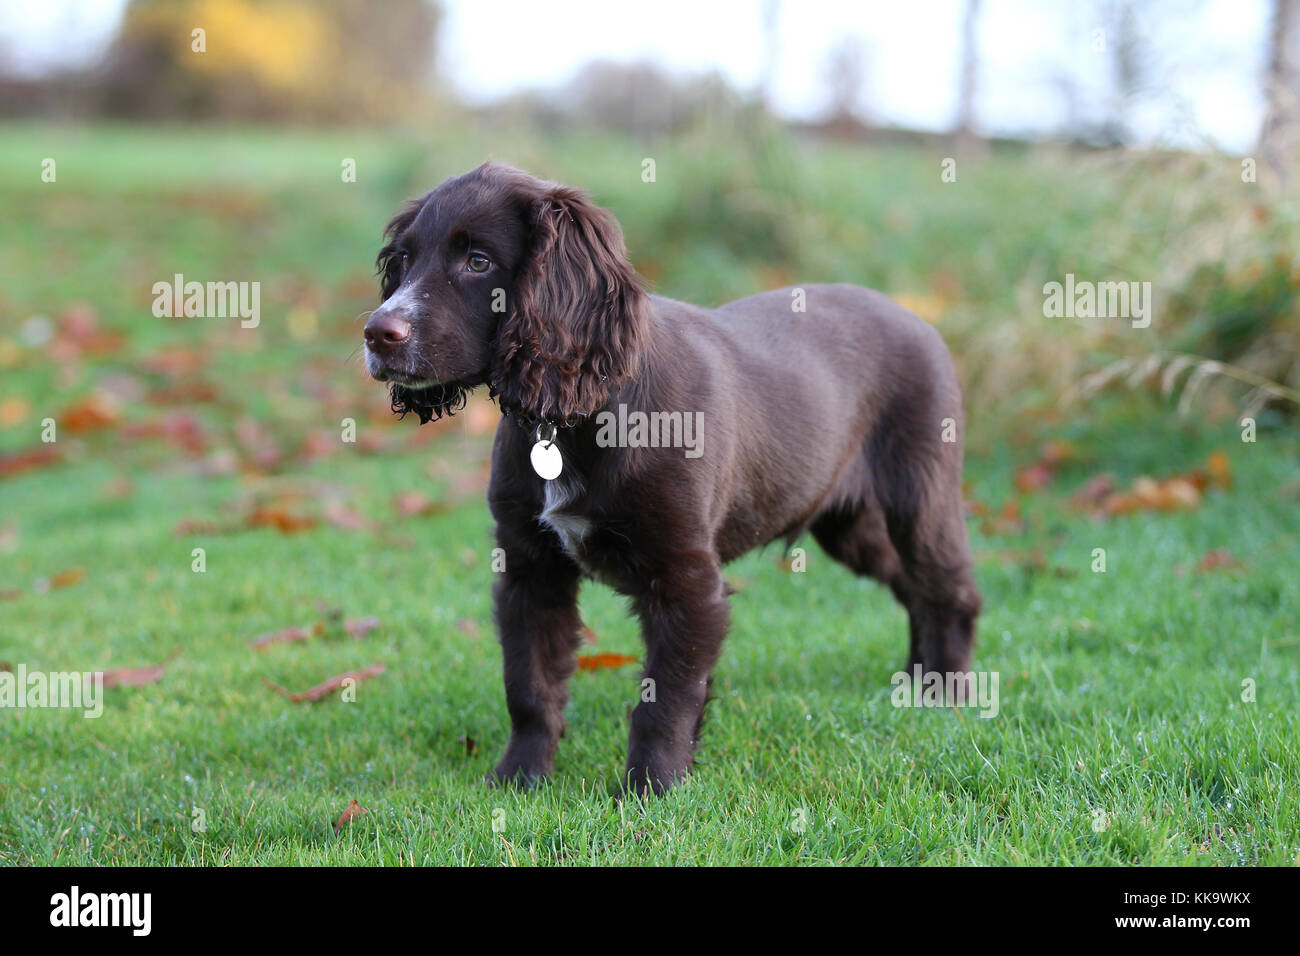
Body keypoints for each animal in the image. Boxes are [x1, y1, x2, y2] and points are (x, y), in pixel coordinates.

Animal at [361, 162, 977, 790]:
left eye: (478, 261)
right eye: (405, 260)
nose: (377, 334)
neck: (578, 416)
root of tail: (920, 319)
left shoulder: (687, 580)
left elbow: (668, 699)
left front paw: (650, 790)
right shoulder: (528, 567)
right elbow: (530, 686)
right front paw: (519, 778)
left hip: (919, 493)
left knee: (949, 589)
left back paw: (942, 695)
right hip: (851, 524)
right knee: (911, 586)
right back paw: (914, 678)